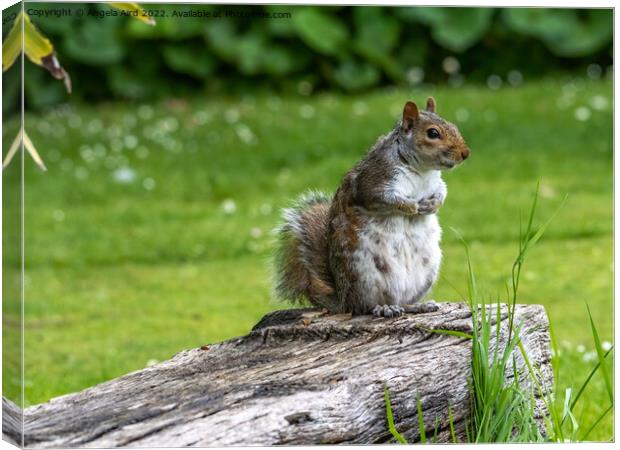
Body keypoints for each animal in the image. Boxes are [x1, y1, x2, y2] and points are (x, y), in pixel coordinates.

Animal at [274, 97, 468, 316]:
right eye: (433, 133)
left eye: (454, 126)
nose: (465, 153)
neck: (422, 171)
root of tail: (343, 301)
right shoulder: (373, 182)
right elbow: (387, 199)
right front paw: (412, 207)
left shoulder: (436, 183)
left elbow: (442, 191)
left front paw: (433, 205)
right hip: (362, 274)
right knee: (365, 306)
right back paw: (383, 308)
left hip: (427, 273)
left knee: (403, 302)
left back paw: (418, 305)